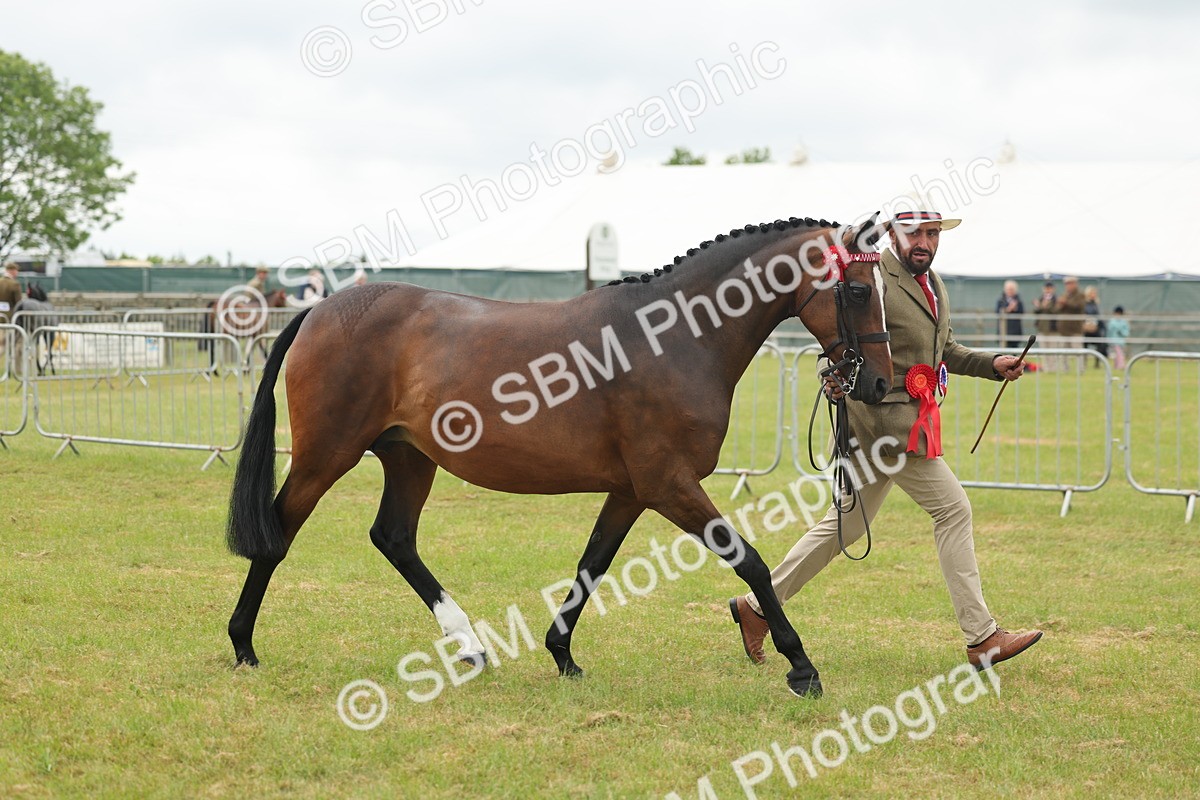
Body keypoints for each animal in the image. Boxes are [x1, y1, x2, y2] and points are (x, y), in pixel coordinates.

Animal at [226, 214, 894, 697]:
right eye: (860, 289)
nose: (879, 382)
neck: (675, 338)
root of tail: (320, 309)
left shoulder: (631, 491)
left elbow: (591, 564)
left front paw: (562, 655)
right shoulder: (669, 485)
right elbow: (750, 562)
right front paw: (802, 667)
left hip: (409, 458)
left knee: (393, 537)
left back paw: (469, 644)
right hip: (326, 455)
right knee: (279, 531)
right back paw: (243, 645)